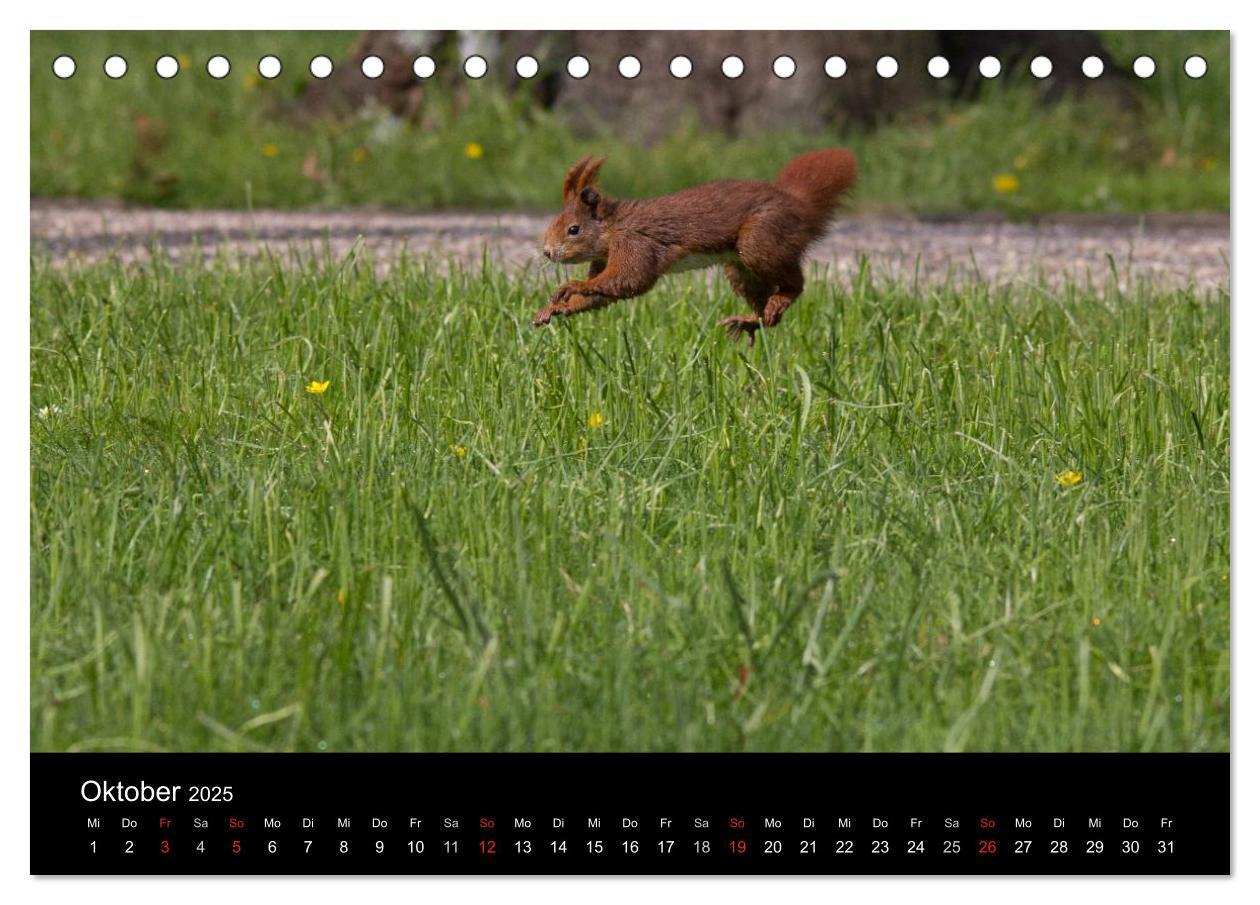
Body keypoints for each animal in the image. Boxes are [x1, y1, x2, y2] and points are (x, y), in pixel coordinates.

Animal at [531, 150, 856, 345]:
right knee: (764, 311)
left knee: (795, 283)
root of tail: (799, 207)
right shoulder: (603, 259)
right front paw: (555, 308)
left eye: (573, 229)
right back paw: (751, 320)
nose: (547, 252)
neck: (612, 229)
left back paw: (781, 298)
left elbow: (630, 279)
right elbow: (600, 295)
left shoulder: (635, 244)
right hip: (740, 269)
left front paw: (570, 287)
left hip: (760, 240)